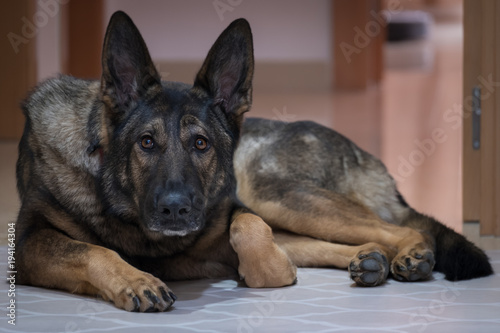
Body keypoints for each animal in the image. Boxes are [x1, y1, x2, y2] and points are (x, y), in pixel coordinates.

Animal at [15, 12, 492, 312]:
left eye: (202, 144)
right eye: (146, 142)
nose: (175, 210)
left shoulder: (239, 213)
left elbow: (250, 234)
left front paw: (263, 270)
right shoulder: (28, 244)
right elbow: (93, 250)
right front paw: (136, 280)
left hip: (275, 195)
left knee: (401, 227)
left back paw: (410, 254)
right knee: (352, 241)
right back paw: (372, 260)